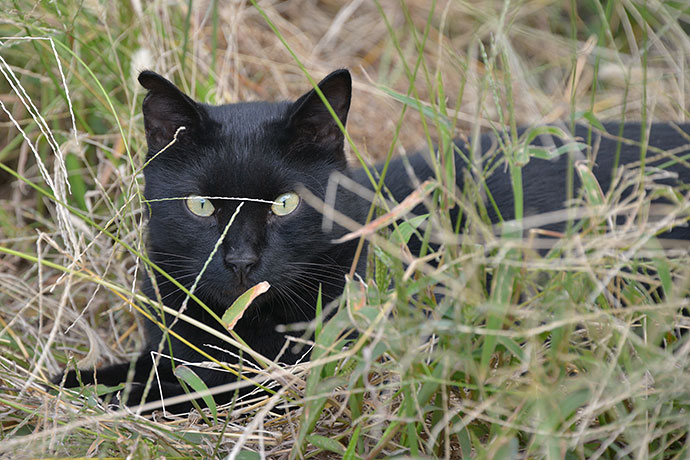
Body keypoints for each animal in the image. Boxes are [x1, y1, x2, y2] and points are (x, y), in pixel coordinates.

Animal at [53, 68, 688, 414]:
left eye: (286, 205)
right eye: (201, 206)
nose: (240, 261)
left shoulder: (289, 374)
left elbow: (183, 390)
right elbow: (140, 369)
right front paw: (65, 386)